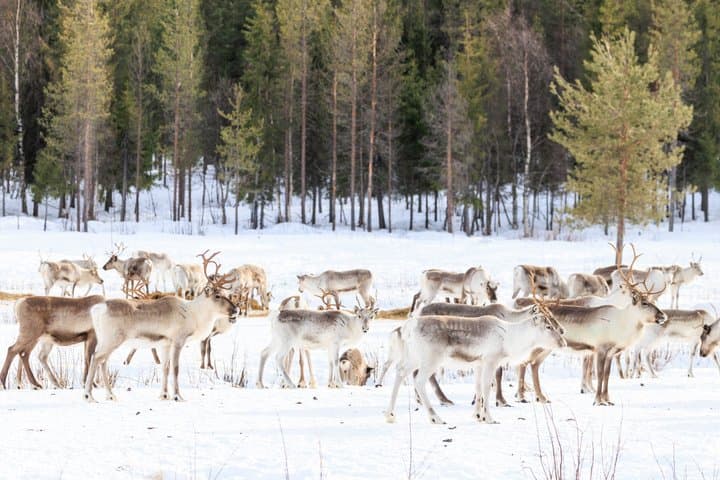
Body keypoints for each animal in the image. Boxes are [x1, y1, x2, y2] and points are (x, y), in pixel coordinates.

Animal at [83, 251, 239, 402]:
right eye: (217, 296)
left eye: (227, 293)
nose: (236, 310)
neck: (194, 315)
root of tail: (98, 308)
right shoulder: (178, 340)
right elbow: (175, 368)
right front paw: (177, 396)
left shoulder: (165, 344)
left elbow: (165, 368)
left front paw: (164, 395)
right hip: (113, 339)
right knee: (96, 358)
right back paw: (88, 395)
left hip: (105, 339)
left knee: (103, 361)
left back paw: (110, 395)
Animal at [383, 303, 566, 425]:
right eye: (548, 326)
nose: (563, 342)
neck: (511, 337)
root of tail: (408, 326)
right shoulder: (491, 360)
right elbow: (487, 387)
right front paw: (489, 418)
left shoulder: (479, 364)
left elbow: (478, 388)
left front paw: (478, 416)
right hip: (430, 359)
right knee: (419, 381)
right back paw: (436, 417)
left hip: (413, 358)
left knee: (400, 372)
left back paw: (390, 415)